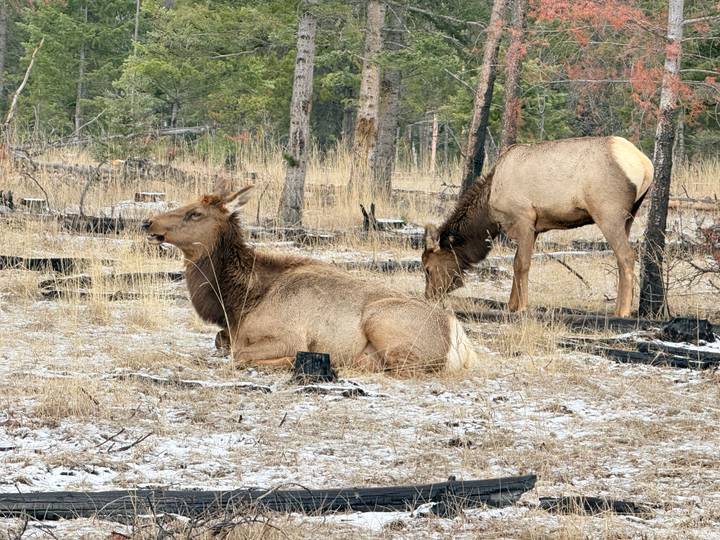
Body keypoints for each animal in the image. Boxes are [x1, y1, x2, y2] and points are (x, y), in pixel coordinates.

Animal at [143, 186, 478, 374]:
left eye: (195, 213)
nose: (148, 221)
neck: (239, 302)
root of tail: (461, 342)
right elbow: (222, 344)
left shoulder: (290, 336)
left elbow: (239, 356)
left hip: (381, 319)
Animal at [422, 136, 654, 317]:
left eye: (427, 268)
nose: (429, 296)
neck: (489, 208)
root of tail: (646, 166)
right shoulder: (533, 227)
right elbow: (516, 263)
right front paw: (511, 305)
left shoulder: (523, 218)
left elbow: (522, 264)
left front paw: (522, 307)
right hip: (630, 215)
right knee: (622, 258)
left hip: (608, 213)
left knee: (626, 255)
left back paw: (622, 311)